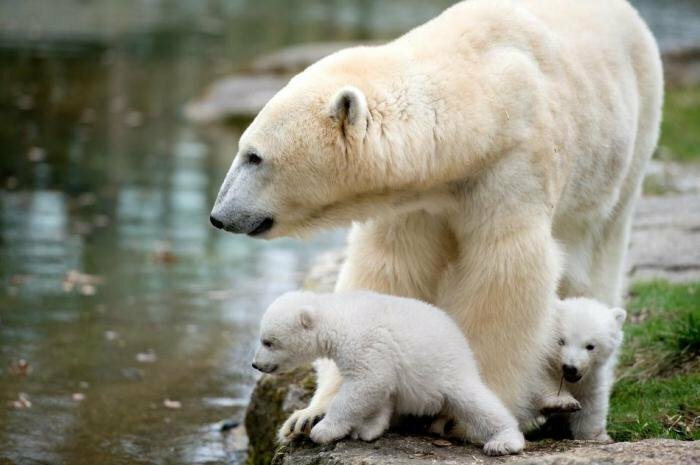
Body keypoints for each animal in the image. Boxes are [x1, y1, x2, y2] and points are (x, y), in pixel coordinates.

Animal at [252, 290, 525, 456]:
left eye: (268, 342)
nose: (255, 364)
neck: (338, 317)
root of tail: (462, 342)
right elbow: (376, 387)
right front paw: (363, 427)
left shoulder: (366, 343)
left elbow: (365, 383)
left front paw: (323, 430)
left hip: (448, 370)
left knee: (477, 403)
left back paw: (504, 441)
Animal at [537, 298, 627, 441]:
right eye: (561, 341)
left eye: (590, 346)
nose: (570, 368)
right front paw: (563, 402)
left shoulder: (591, 379)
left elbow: (591, 405)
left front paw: (596, 437)